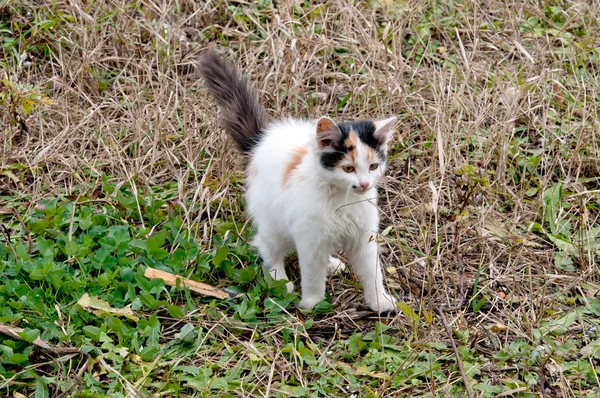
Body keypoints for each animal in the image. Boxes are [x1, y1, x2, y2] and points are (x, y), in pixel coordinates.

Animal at [197, 52, 400, 314]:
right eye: (348, 168)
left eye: (373, 166)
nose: (365, 184)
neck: (341, 200)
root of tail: (260, 142)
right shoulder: (309, 236)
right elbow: (312, 274)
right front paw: (312, 303)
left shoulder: (364, 236)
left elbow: (372, 272)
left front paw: (379, 301)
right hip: (274, 221)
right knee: (265, 245)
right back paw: (278, 278)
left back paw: (332, 264)